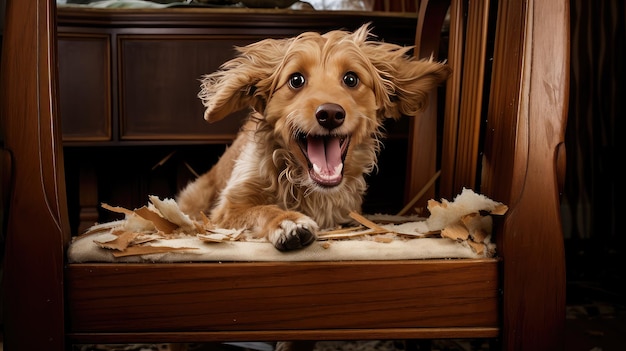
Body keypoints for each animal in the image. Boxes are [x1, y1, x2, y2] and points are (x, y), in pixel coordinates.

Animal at [176, 23, 448, 252]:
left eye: (351, 78)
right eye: (296, 79)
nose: (330, 114)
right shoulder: (227, 208)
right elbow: (260, 210)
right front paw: (287, 222)